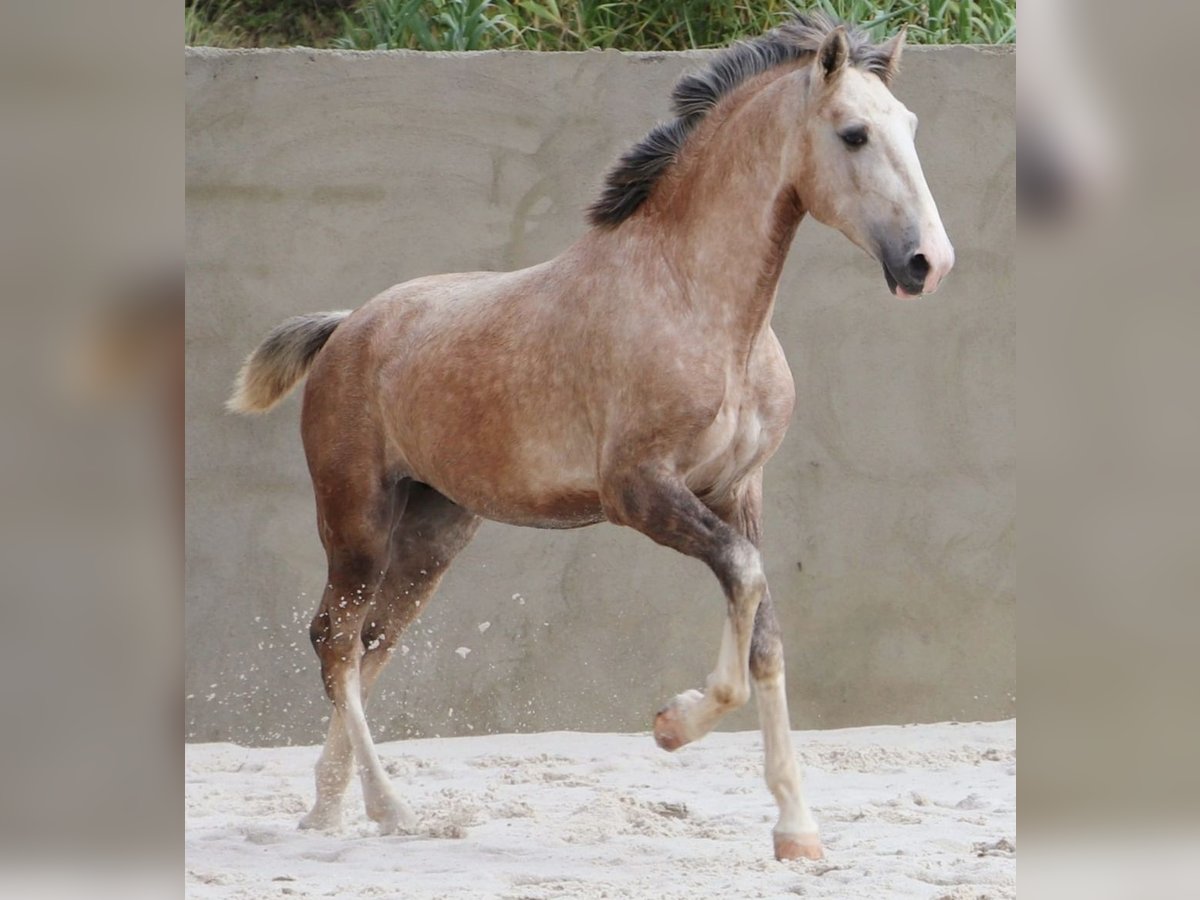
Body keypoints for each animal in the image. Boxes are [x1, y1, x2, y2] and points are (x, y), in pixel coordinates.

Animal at [226, 12, 955, 859]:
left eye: (910, 126)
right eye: (853, 134)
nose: (928, 263)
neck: (698, 303)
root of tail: (346, 328)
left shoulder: (739, 491)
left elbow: (766, 631)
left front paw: (798, 832)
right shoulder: (640, 492)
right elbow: (745, 586)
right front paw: (673, 725)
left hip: (435, 532)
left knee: (373, 642)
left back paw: (326, 807)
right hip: (356, 522)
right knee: (335, 642)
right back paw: (388, 808)